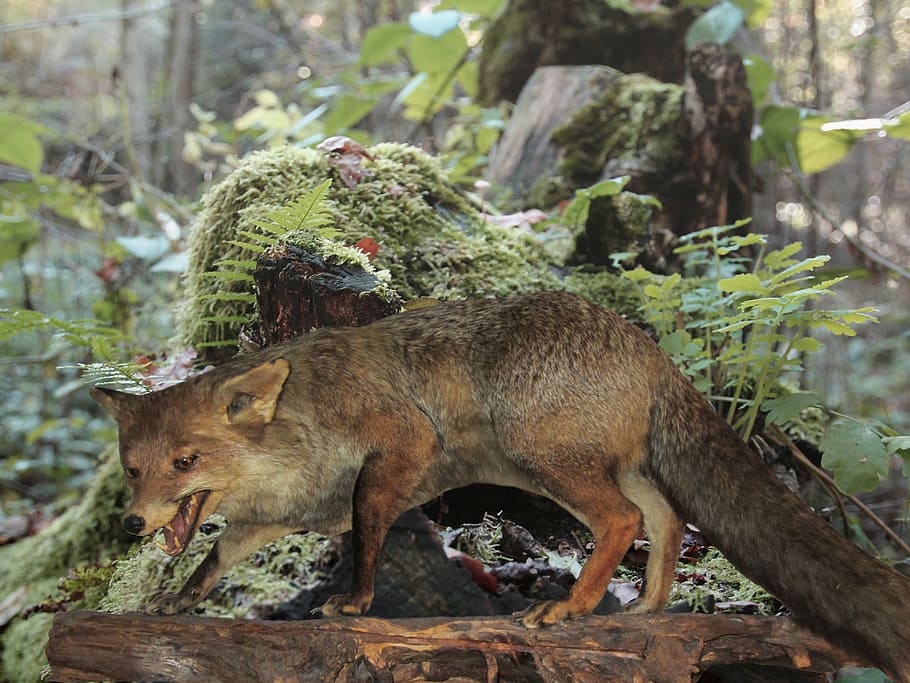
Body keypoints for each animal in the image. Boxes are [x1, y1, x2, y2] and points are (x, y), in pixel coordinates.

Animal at [92, 291, 910, 680]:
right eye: (134, 470)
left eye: (185, 462)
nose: (131, 525)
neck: (302, 421)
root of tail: (644, 342)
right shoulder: (278, 515)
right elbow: (217, 555)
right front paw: (178, 599)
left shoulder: (399, 446)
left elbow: (367, 528)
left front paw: (353, 600)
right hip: (602, 465)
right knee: (666, 518)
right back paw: (648, 606)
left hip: (545, 459)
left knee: (620, 521)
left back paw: (572, 607)